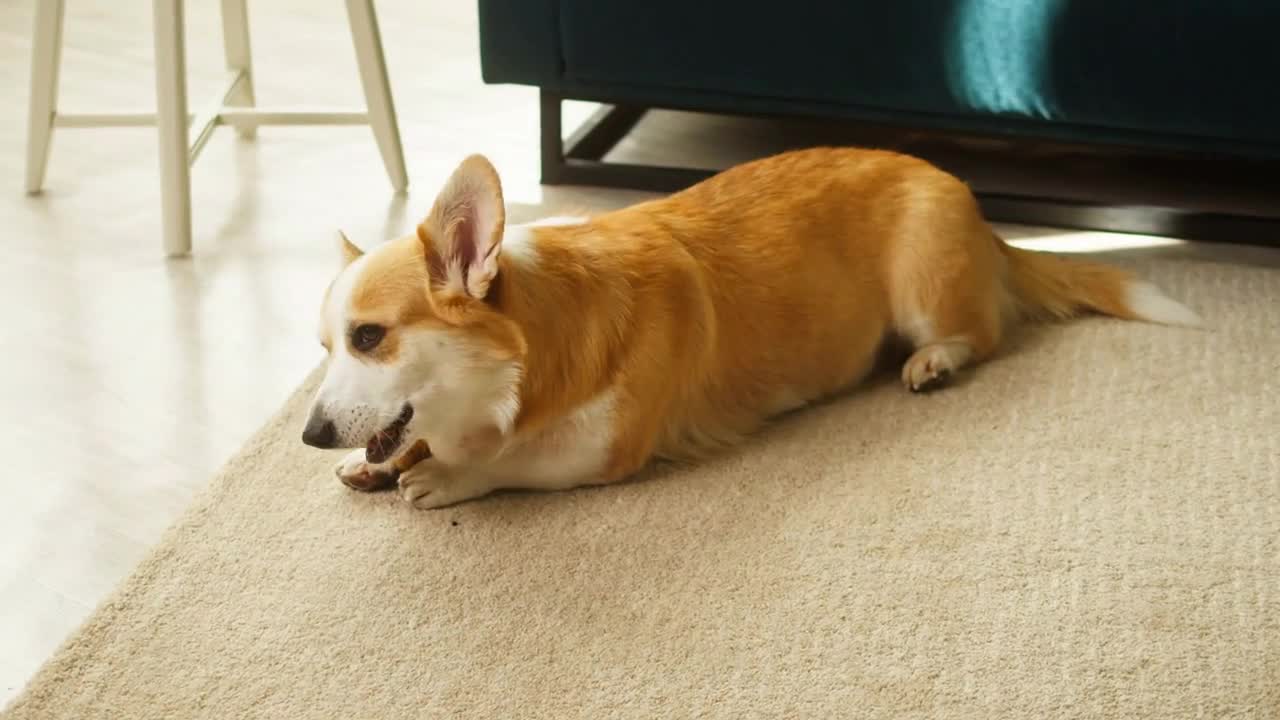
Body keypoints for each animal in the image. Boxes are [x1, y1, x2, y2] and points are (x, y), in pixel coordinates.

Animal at [302, 147, 1198, 504]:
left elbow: (509, 460)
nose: (308, 435)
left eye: (371, 337)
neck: (528, 359)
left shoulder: (605, 450)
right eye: (325, 346)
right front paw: (382, 462)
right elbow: (412, 439)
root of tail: (979, 211)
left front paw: (445, 475)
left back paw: (932, 363)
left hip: (922, 286)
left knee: (979, 335)